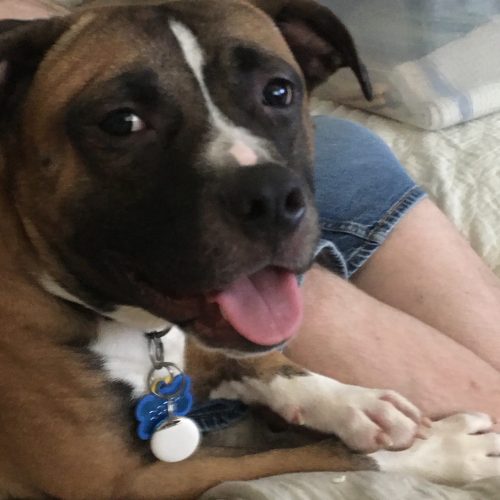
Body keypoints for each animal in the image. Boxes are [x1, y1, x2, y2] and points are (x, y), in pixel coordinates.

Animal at [1, 0, 499, 498]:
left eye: (278, 92)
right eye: (123, 123)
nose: (272, 198)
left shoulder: (210, 346)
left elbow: (270, 365)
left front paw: (359, 404)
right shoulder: (127, 481)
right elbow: (311, 457)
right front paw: (445, 448)